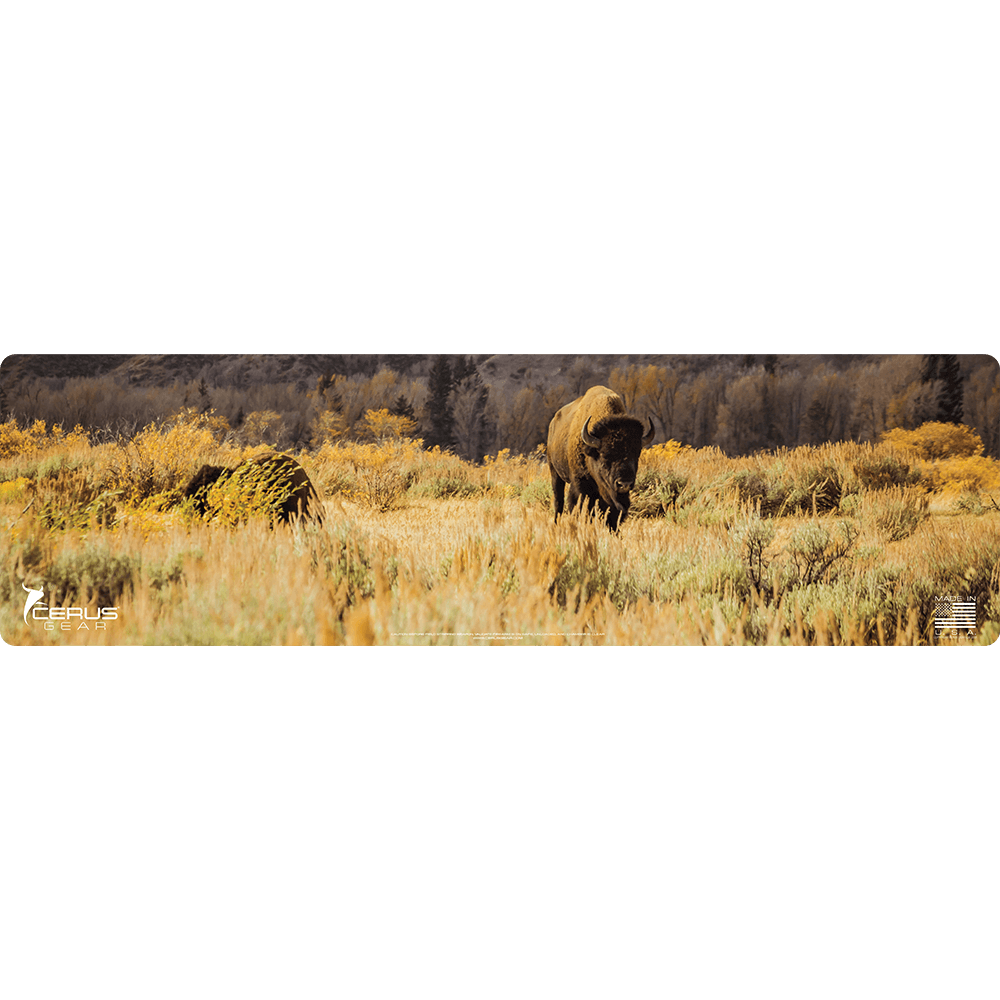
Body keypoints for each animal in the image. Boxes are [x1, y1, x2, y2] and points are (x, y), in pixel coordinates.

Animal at [547, 386, 655, 530]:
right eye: (605, 455)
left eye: (637, 454)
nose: (624, 484)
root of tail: (553, 423)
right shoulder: (580, 484)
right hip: (555, 472)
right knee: (558, 501)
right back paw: (556, 524)